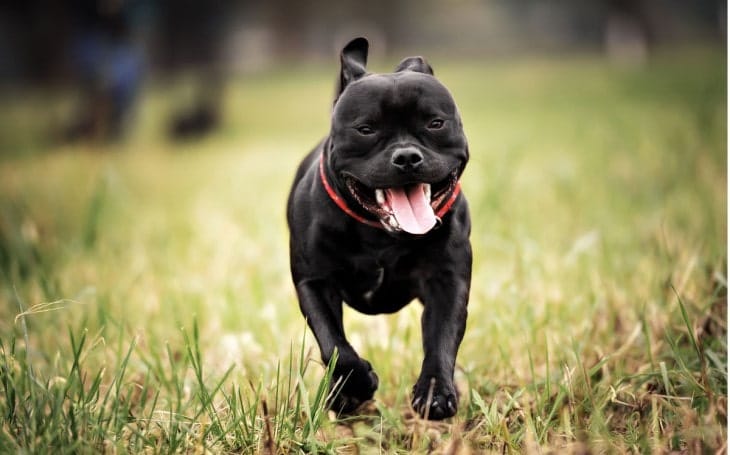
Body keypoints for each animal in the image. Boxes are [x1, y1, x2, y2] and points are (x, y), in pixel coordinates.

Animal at [288, 37, 470, 422]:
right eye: (365, 129)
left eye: (435, 123)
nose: (407, 157)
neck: (382, 235)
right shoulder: (315, 282)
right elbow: (335, 345)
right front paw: (355, 387)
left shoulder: (447, 282)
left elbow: (441, 338)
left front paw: (435, 393)